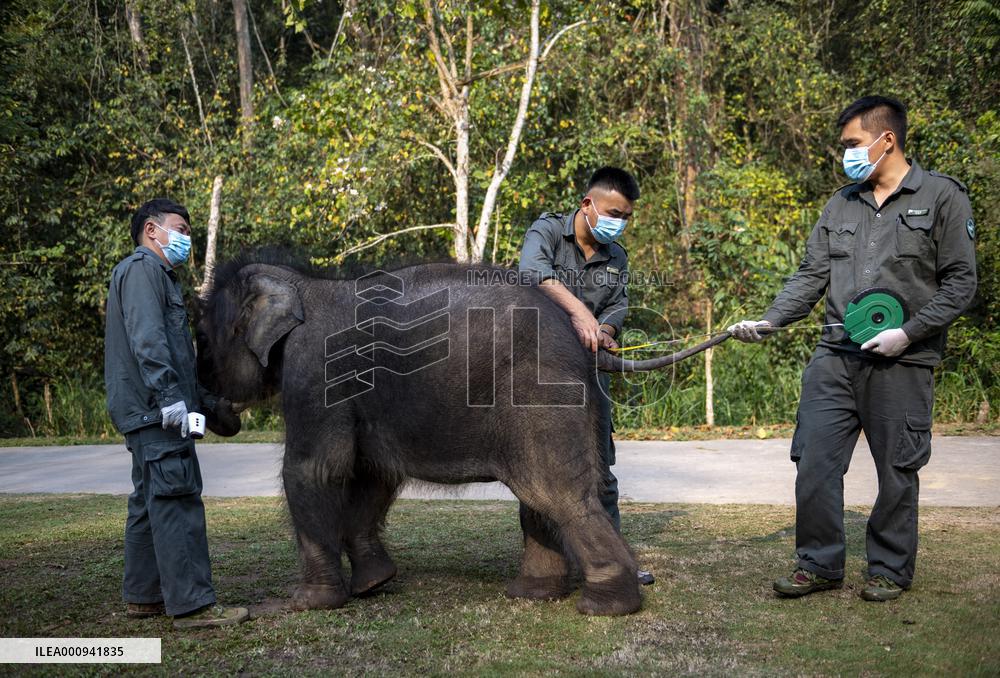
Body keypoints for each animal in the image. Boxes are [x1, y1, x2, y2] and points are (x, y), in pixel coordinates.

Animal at [196, 251, 714, 616]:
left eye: (205, 337)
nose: (216, 411)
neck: (302, 284)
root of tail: (582, 337)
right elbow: (373, 474)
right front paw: (374, 584)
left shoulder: (314, 371)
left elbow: (315, 470)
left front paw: (306, 603)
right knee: (540, 496)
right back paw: (532, 594)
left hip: (538, 395)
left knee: (559, 493)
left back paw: (604, 607)